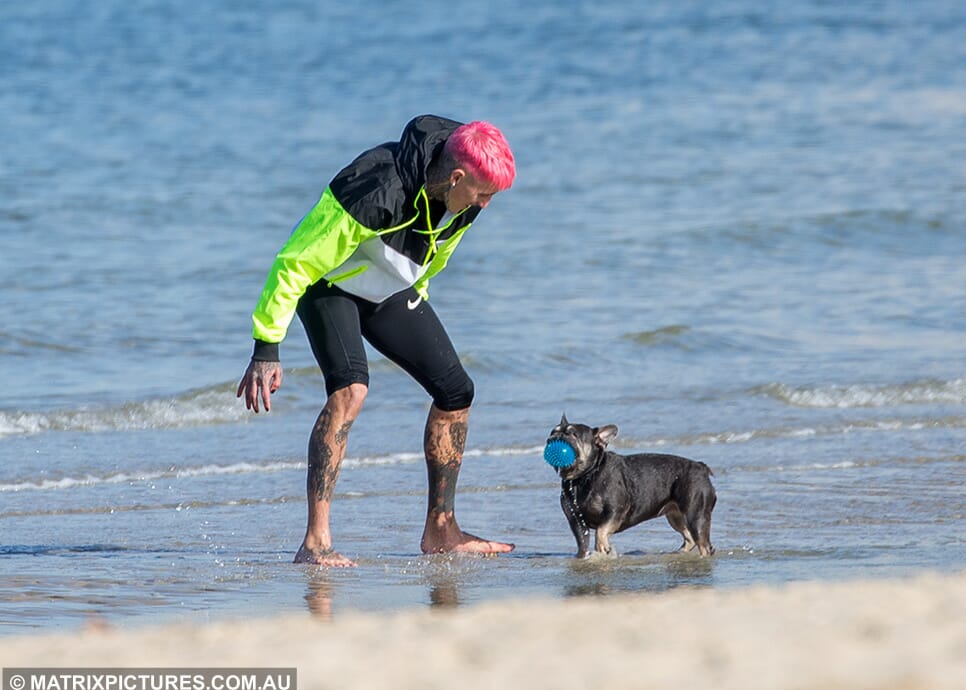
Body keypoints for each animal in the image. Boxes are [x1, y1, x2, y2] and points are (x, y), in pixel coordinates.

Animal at [548, 414, 716, 552]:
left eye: (572, 434)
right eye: (552, 432)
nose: (554, 437)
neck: (584, 476)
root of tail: (701, 467)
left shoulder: (615, 510)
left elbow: (601, 531)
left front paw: (602, 547)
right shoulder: (576, 521)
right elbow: (582, 545)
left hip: (696, 514)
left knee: (703, 544)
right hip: (676, 516)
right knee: (690, 538)